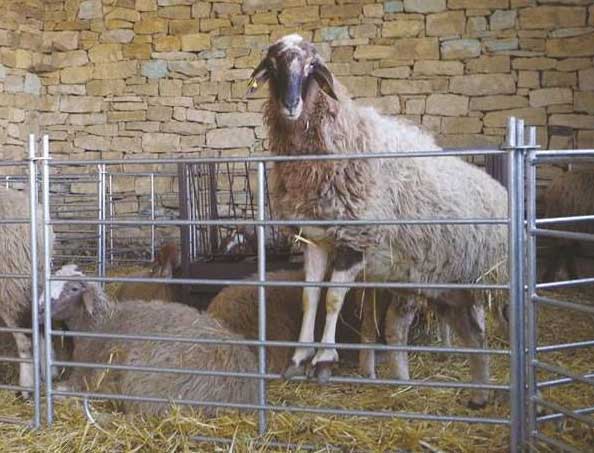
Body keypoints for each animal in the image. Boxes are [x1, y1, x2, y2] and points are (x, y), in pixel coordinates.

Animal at [245, 35, 504, 406]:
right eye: (273, 65)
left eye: (312, 66)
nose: (291, 104)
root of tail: (497, 187)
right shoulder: (316, 238)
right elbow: (310, 296)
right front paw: (299, 356)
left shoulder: (356, 239)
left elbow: (333, 298)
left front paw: (324, 360)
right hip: (448, 283)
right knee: (471, 331)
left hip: (482, 277)